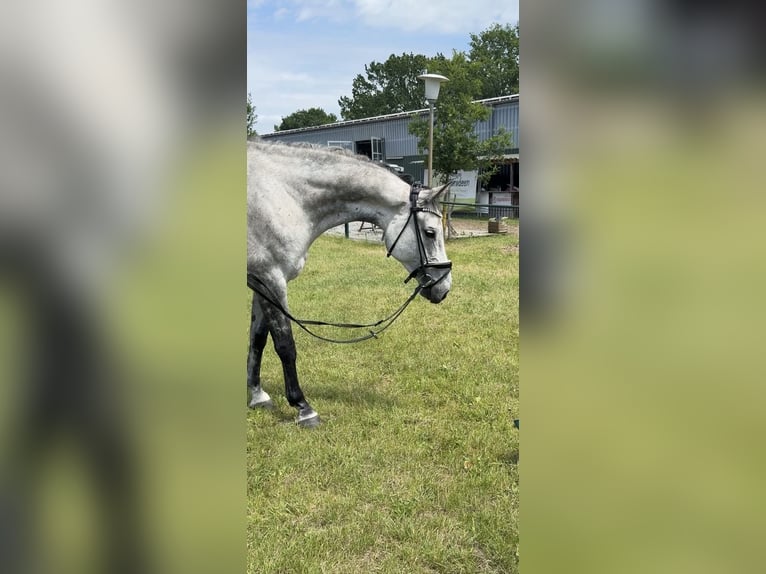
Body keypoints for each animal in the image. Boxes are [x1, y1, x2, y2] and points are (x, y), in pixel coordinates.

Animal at [247, 140, 453, 428]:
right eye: (430, 232)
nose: (444, 287)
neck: (283, 194)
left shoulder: (261, 280)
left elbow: (257, 339)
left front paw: (257, 395)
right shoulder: (270, 277)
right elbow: (285, 344)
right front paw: (303, 408)